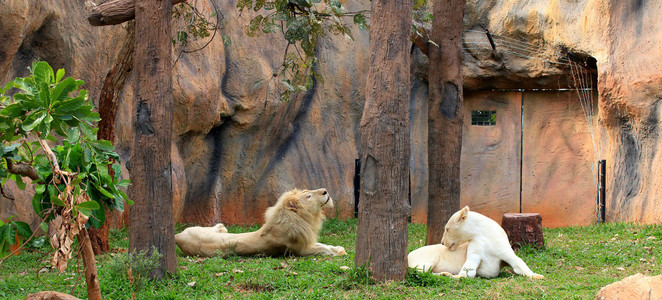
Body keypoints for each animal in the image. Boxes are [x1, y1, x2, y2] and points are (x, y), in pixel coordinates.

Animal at [174, 189, 350, 256]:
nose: (325, 191)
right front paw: (338, 252)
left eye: (309, 192)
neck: (305, 219)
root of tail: (177, 236)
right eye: (308, 196)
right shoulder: (299, 250)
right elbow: (322, 248)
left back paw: (221, 227)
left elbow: (324, 244)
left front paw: (338, 248)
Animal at [412, 206, 548, 278]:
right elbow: (469, 269)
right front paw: (455, 275)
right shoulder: (476, 247)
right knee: (420, 270)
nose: (442, 242)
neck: (485, 236)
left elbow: (518, 262)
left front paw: (537, 276)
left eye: (447, 229)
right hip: (429, 255)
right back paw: (444, 273)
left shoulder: (501, 248)